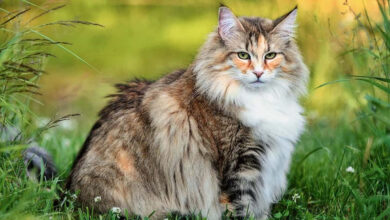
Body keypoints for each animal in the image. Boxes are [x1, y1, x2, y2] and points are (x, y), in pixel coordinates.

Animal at [64, 5, 308, 220]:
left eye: (270, 55)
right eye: (243, 55)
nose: (258, 73)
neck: (261, 99)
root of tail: (67, 197)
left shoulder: (265, 172)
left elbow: (260, 210)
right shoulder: (237, 169)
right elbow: (240, 208)